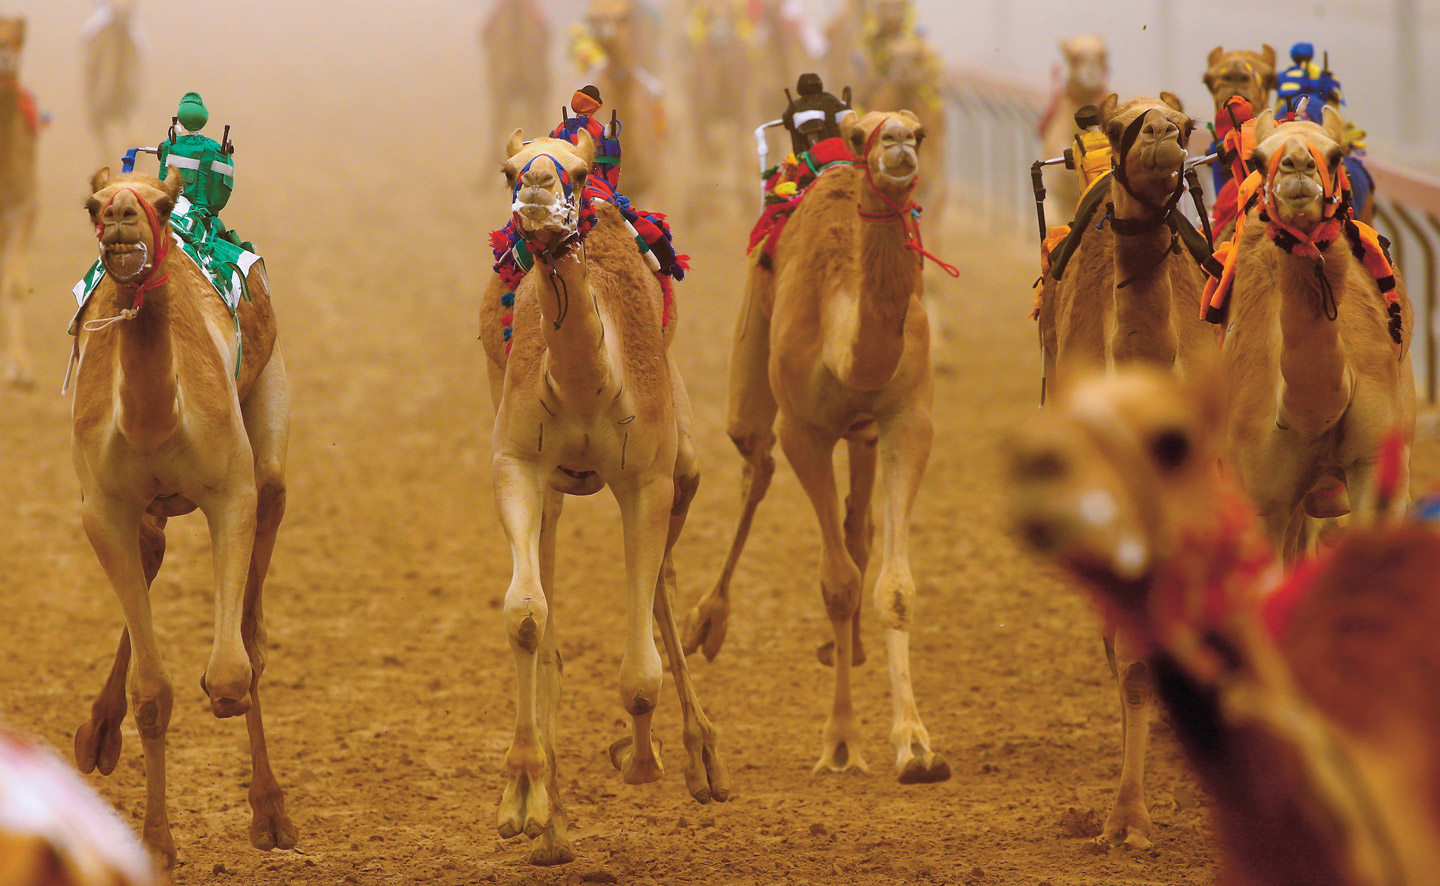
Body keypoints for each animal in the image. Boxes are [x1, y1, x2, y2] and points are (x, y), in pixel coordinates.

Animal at [69, 168, 294, 869]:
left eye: (164, 206)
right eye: (92, 205)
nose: (120, 215)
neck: (155, 421)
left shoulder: (231, 492)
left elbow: (231, 672)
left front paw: (267, 814)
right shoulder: (104, 510)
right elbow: (153, 693)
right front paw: (157, 846)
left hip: (269, 432)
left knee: (251, 627)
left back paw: (273, 816)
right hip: (146, 510)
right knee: (151, 551)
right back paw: (97, 735)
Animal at [479, 128, 729, 865]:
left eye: (577, 169)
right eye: (509, 168)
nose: (537, 191)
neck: (588, 386)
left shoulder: (647, 477)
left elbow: (642, 668)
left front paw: (637, 759)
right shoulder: (516, 464)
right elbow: (527, 616)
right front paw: (525, 801)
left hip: (685, 461)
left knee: (664, 585)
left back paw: (704, 762)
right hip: (557, 487)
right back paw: (556, 826)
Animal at [683, 111, 950, 784]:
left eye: (919, 131)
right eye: (864, 137)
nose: (897, 143)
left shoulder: (909, 420)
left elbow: (894, 586)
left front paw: (916, 746)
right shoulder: (805, 430)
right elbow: (837, 584)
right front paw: (841, 744)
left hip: (864, 434)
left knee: (857, 527)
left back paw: (846, 647)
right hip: (751, 365)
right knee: (755, 466)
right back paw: (707, 621)